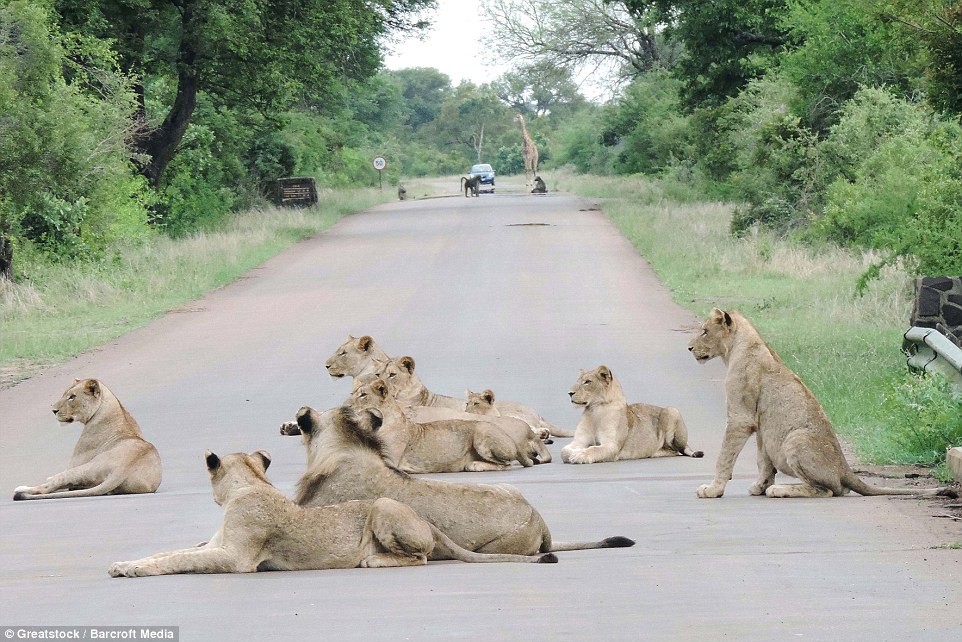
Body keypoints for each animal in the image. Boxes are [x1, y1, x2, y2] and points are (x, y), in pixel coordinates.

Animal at [14, 376, 161, 500]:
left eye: (72, 397)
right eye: (64, 394)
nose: (54, 410)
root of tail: (124, 468)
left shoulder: (75, 462)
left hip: (82, 468)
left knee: (51, 485)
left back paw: (21, 488)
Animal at [109, 444, 556, 576]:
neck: (249, 485)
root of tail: (429, 523)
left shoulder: (237, 559)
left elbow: (180, 559)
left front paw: (132, 571)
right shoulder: (216, 545)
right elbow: (169, 552)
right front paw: (125, 563)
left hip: (384, 506)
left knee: (422, 557)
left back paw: (372, 560)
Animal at [560, 362, 700, 462]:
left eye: (587, 382)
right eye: (578, 381)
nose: (569, 393)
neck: (595, 410)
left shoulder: (612, 445)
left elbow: (593, 449)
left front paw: (580, 455)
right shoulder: (579, 441)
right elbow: (564, 451)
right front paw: (575, 453)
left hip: (671, 410)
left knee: (677, 449)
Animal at [688, 308, 956, 498]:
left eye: (705, 331)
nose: (689, 348)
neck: (738, 347)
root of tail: (845, 468)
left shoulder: (740, 418)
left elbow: (724, 457)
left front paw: (713, 489)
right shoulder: (762, 425)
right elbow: (763, 460)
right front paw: (759, 486)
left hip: (795, 439)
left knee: (829, 490)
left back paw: (781, 490)